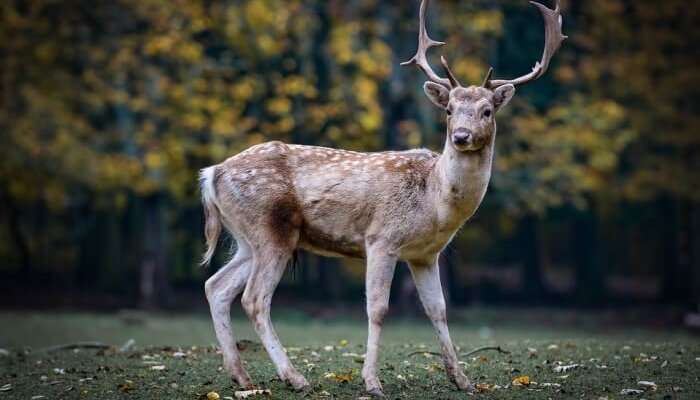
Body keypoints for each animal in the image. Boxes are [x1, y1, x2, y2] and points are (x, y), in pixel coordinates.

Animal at [200, 0, 568, 394]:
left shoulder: (425, 255)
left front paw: (462, 380)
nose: (461, 136)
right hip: (271, 229)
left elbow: (438, 309)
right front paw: (372, 381)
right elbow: (377, 310)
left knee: (216, 286)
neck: (434, 203)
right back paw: (295, 377)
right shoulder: (381, 239)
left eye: (487, 110)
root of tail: (212, 174)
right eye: (449, 110)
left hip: (246, 238)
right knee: (254, 299)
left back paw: (242, 376)